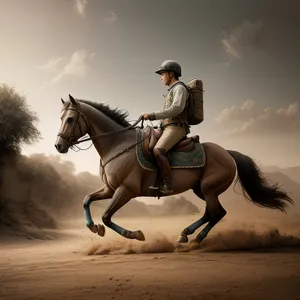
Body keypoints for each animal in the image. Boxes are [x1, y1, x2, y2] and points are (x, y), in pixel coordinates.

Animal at [54, 95, 292, 245]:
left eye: (70, 119)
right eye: (62, 118)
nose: (58, 146)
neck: (118, 144)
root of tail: (227, 152)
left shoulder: (125, 191)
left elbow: (106, 217)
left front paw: (136, 234)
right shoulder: (110, 189)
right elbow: (86, 200)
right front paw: (93, 227)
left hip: (209, 189)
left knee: (216, 213)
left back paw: (194, 238)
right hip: (201, 190)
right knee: (214, 213)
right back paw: (186, 235)